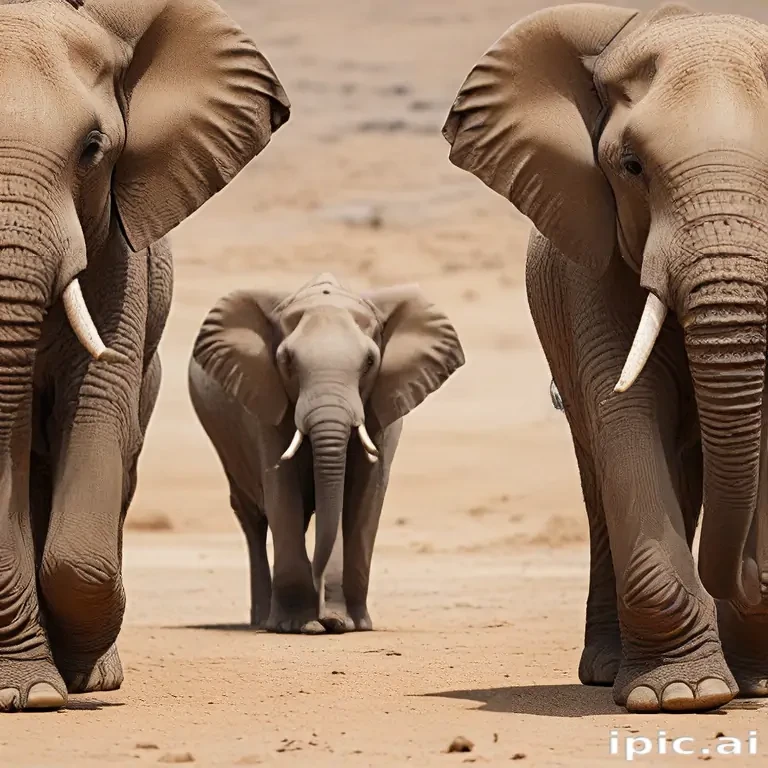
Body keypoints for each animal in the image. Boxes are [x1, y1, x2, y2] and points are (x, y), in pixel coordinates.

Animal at [187, 273, 464, 634]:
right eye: (287, 361)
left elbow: (364, 496)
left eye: (370, 362)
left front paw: (347, 624)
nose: (322, 615)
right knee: (253, 518)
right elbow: (282, 491)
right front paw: (297, 626)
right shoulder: (266, 401)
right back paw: (262, 619)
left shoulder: (382, 404)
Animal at [443, 1, 768, 713]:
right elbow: (626, 412)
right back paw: (609, 671)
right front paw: (684, 695)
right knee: (599, 468)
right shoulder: (586, 264)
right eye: (631, 167)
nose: (748, 578)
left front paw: (742, 680)